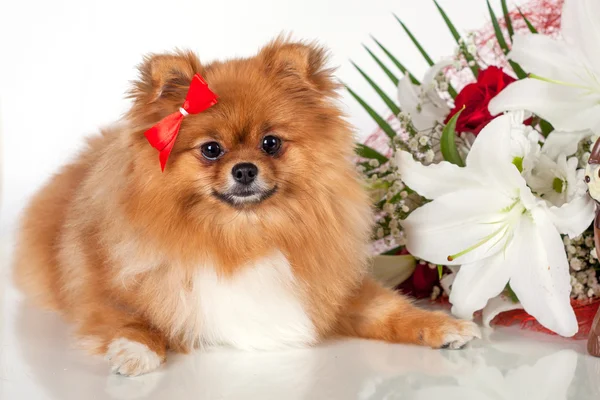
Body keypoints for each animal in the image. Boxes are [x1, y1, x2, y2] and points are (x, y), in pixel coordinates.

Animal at [12, 36, 478, 376]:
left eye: (270, 143)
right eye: (211, 150)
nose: (245, 169)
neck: (244, 232)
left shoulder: (329, 286)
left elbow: (391, 309)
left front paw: (442, 326)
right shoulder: (102, 293)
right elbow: (131, 319)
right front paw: (136, 350)